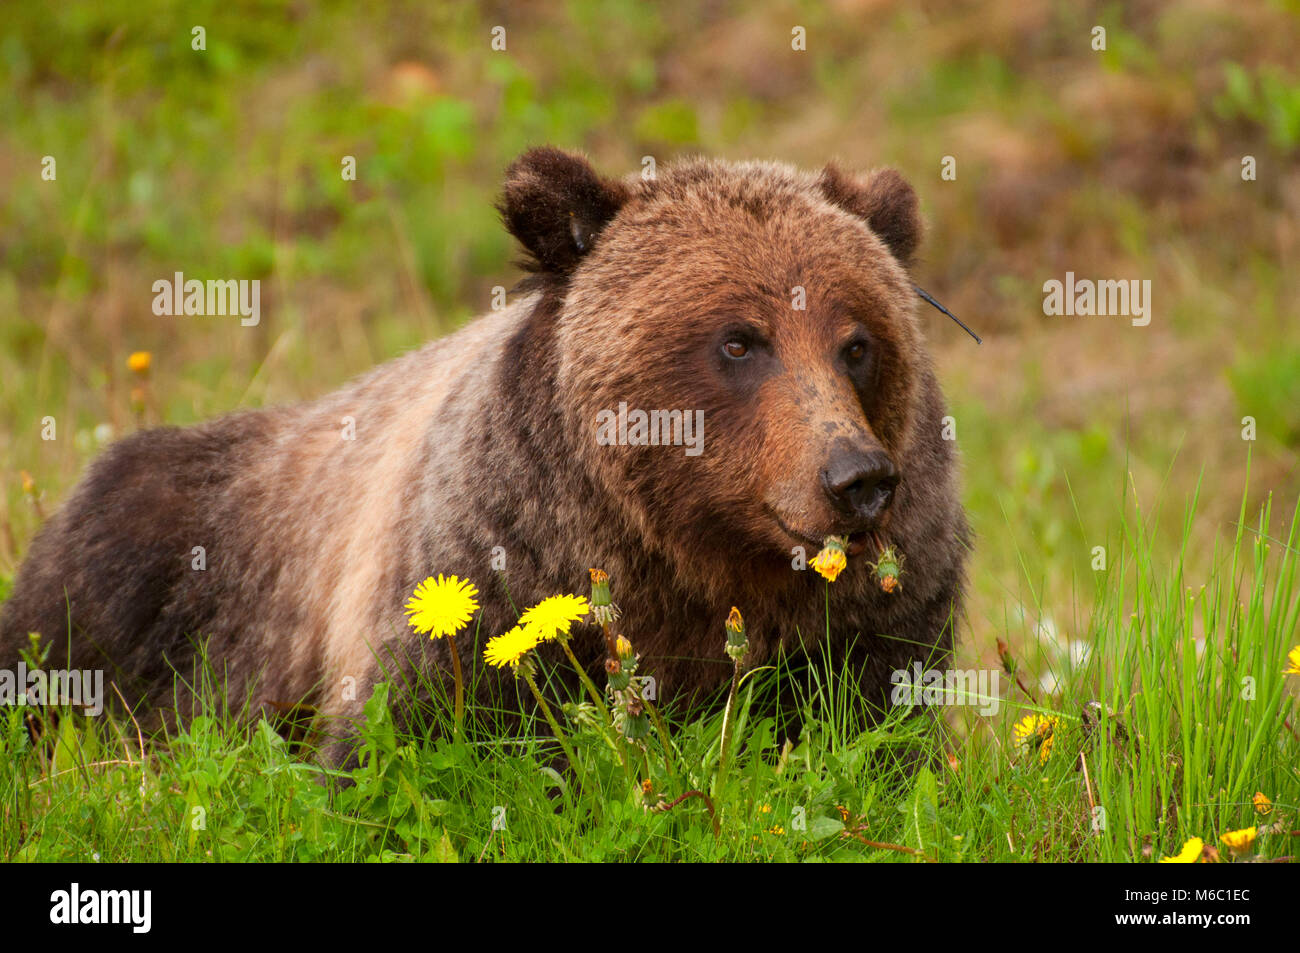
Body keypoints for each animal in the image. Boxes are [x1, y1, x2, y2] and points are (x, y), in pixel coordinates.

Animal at [0, 146, 967, 759]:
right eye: (740, 340)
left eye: (858, 342)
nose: (855, 477)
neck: (683, 554)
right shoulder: (488, 566)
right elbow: (412, 740)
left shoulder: (886, 602)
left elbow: (872, 730)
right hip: (178, 550)